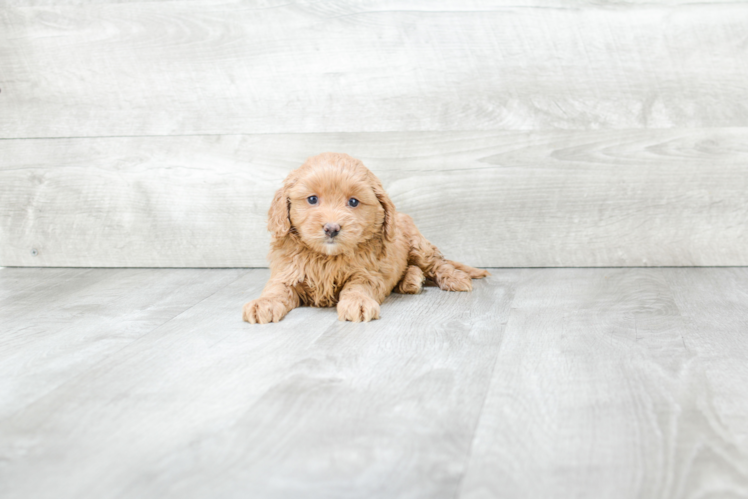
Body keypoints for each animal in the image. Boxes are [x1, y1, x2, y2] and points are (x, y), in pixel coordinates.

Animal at [243, 152, 490, 324]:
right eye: (312, 199)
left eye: (353, 202)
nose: (331, 228)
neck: (327, 258)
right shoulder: (287, 272)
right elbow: (276, 289)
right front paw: (262, 304)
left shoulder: (368, 272)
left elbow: (358, 287)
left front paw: (358, 303)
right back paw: (411, 279)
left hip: (418, 245)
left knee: (437, 263)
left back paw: (454, 278)